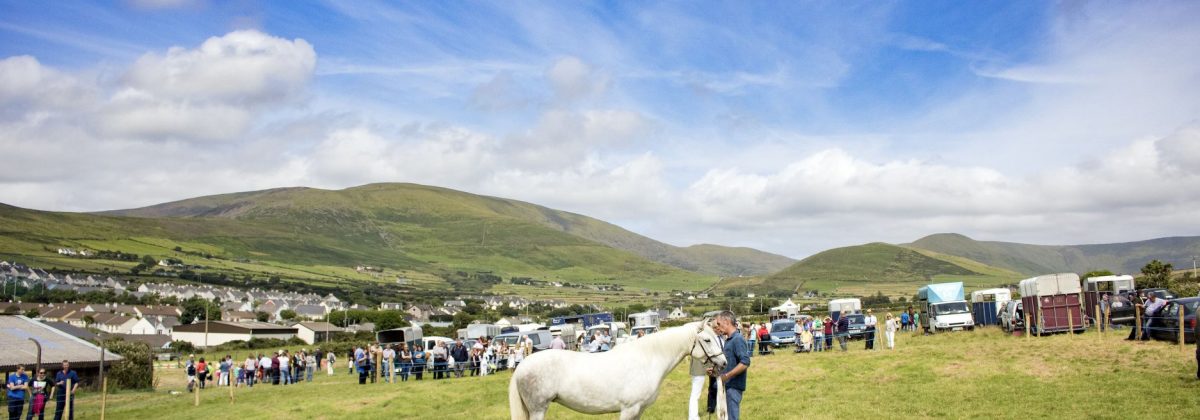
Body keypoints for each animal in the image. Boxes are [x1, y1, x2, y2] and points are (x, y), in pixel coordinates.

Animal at [508, 319, 724, 417]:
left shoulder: (638, 411)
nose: (723, 363)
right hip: (538, 409)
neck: (648, 359)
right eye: (707, 340)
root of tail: (521, 367)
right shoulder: (629, 410)